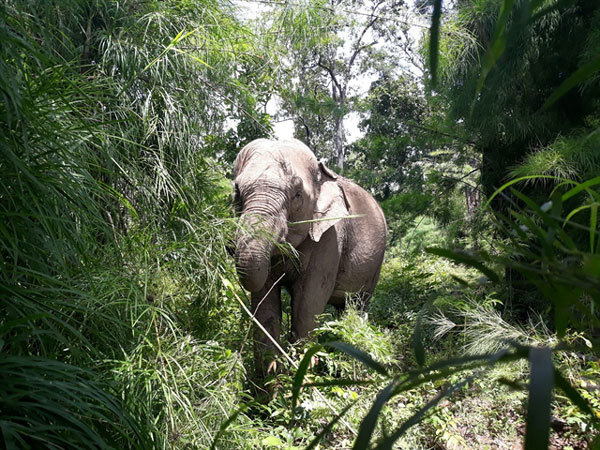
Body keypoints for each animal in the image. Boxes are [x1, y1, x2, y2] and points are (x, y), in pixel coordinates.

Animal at [232, 138, 386, 380]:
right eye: (237, 192)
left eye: (297, 195)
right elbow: (264, 305)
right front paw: (271, 383)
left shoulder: (330, 238)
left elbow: (307, 306)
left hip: (376, 265)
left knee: (358, 306)